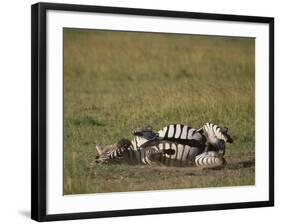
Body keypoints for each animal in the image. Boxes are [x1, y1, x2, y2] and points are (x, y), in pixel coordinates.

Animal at [95, 122, 233, 168]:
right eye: (113, 158)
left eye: (108, 151)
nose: (123, 142)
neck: (135, 152)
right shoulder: (148, 158)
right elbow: (152, 155)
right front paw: (169, 151)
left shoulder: (148, 134)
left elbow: (143, 131)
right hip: (201, 157)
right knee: (220, 154)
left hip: (207, 130)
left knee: (212, 129)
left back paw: (226, 134)